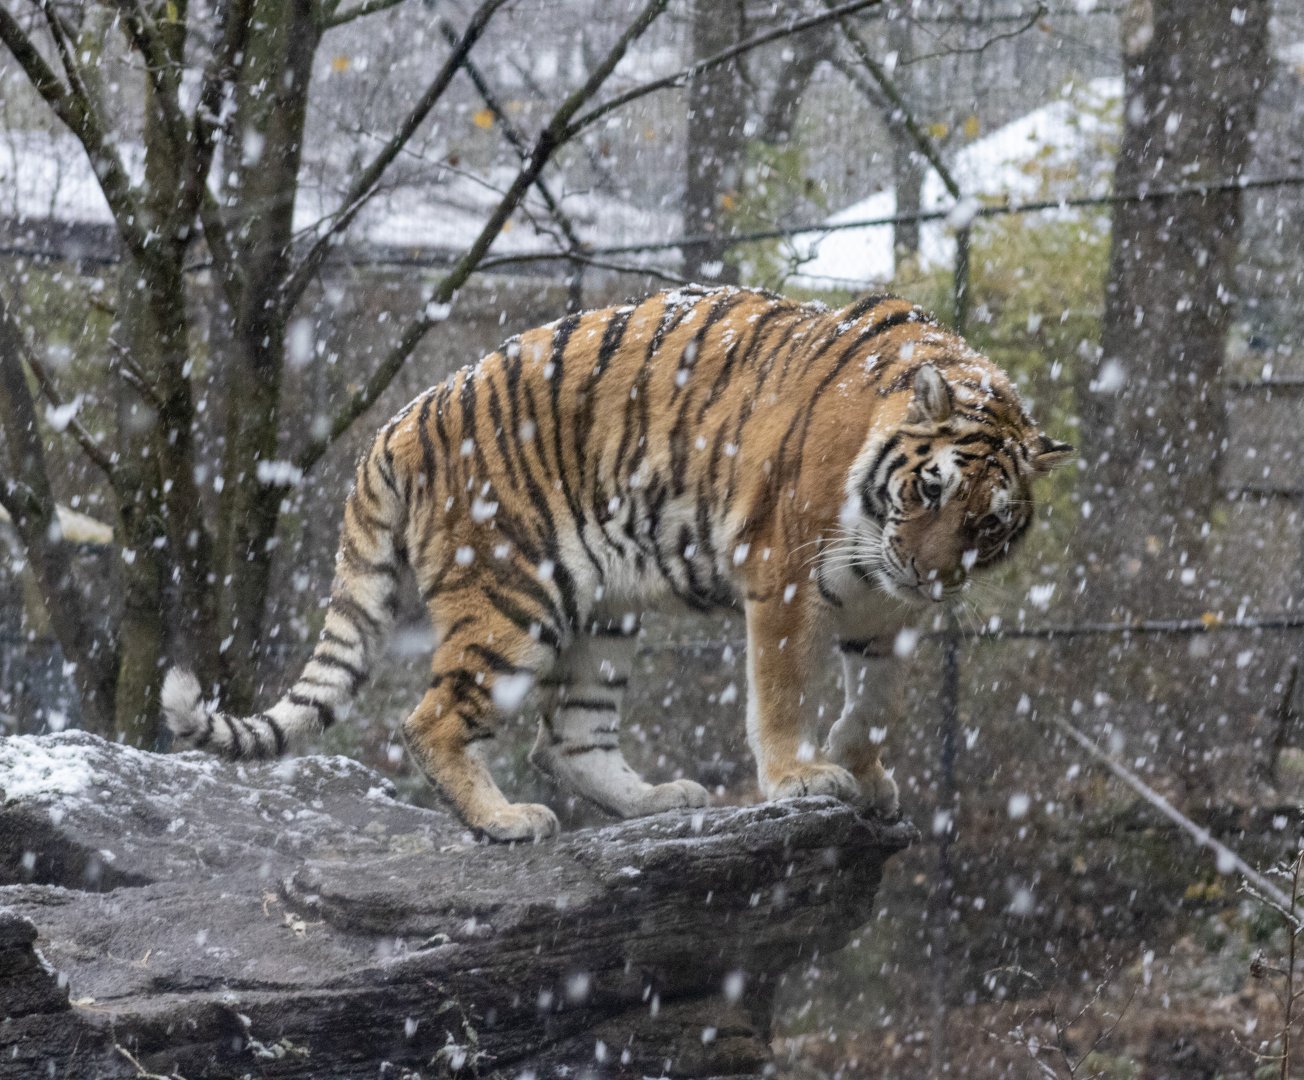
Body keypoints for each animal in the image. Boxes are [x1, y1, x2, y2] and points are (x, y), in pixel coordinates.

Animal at [162, 286, 1071, 841]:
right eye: (928, 487)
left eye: (988, 522)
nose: (927, 574)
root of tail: (403, 418)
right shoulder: (782, 572)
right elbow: (783, 690)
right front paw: (799, 776)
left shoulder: (887, 616)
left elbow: (877, 700)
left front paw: (860, 765)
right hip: (511, 593)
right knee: (434, 720)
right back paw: (505, 822)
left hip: (601, 610)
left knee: (568, 738)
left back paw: (658, 800)